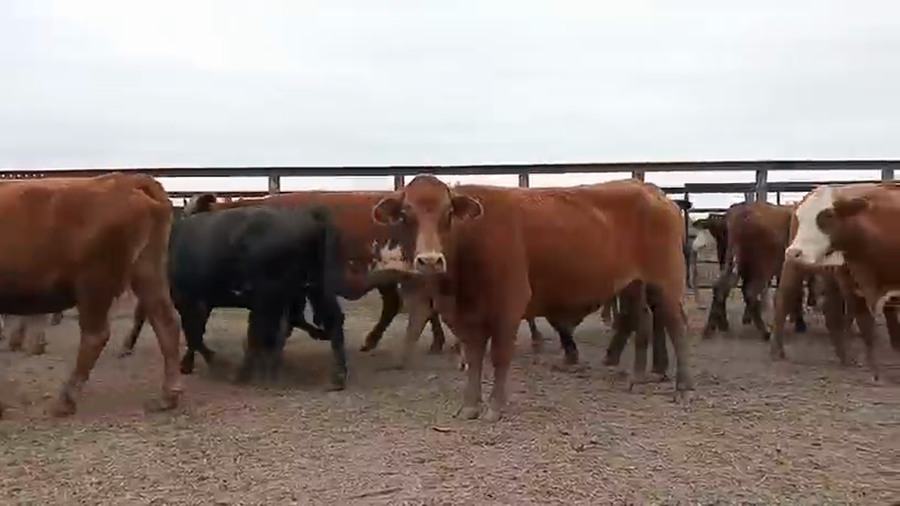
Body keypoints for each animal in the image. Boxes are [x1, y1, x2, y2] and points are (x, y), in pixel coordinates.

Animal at [0, 173, 182, 418]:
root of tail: (127, 179)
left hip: (95, 283)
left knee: (95, 335)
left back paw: (66, 399)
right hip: (147, 272)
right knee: (166, 322)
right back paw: (167, 397)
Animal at [121, 195, 349, 388]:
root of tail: (310, 217)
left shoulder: (186, 299)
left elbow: (194, 333)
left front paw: (209, 361)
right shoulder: (202, 301)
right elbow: (197, 331)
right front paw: (188, 363)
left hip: (270, 294)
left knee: (262, 328)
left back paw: (244, 372)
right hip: (315, 285)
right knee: (330, 318)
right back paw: (336, 374)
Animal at [369, 175, 694, 421]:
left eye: (448, 214)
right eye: (405, 216)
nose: (430, 261)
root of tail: (652, 190)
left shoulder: (509, 305)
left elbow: (499, 355)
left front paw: (495, 407)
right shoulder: (465, 317)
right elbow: (474, 357)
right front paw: (470, 405)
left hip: (666, 280)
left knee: (677, 327)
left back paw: (684, 388)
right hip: (634, 284)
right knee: (642, 321)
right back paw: (638, 378)